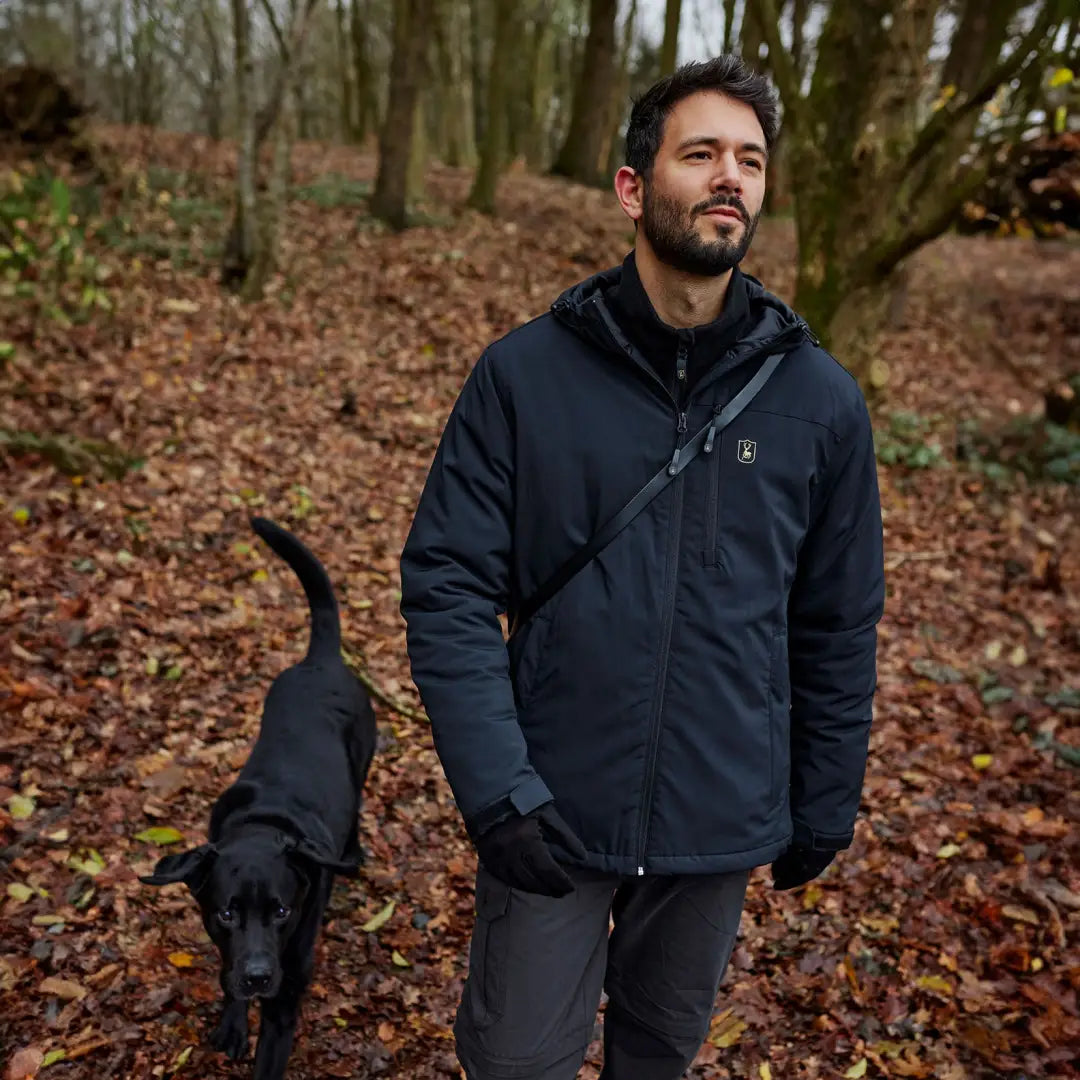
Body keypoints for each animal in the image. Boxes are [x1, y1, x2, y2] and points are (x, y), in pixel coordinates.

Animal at [140, 516, 375, 1080]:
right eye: (226, 914)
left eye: (283, 911)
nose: (257, 976)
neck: (264, 825)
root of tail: (320, 661)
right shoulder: (228, 952)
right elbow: (227, 981)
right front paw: (232, 1022)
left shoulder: (287, 995)